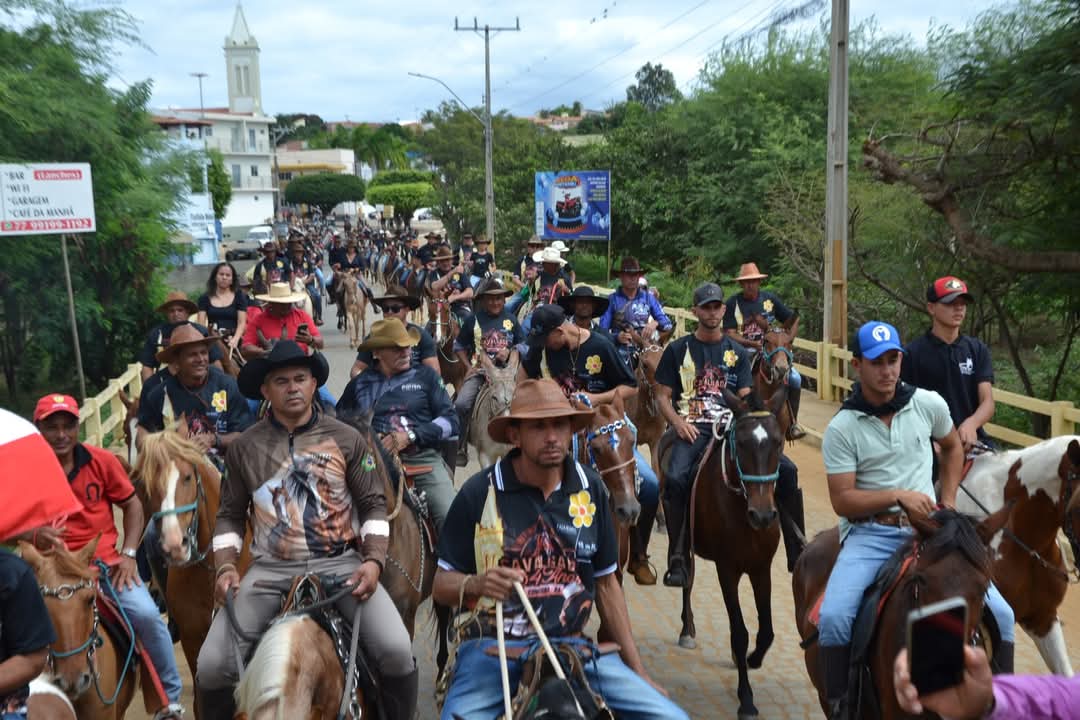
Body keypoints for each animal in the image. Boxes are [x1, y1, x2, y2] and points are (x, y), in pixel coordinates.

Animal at [657, 388, 786, 720]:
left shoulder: (761, 567)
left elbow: (767, 630)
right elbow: (740, 633)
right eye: (741, 443)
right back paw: (687, 629)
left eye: (778, 442)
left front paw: (753, 659)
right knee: (686, 576)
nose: (763, 516)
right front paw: (747, 699)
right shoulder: (727, 569)